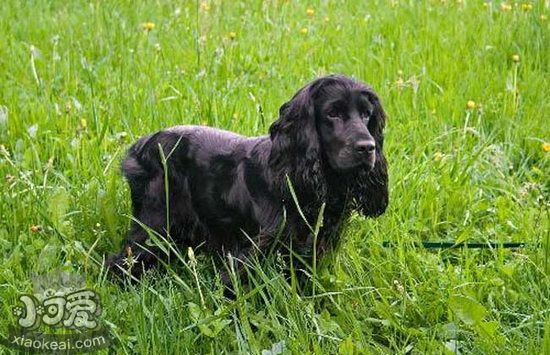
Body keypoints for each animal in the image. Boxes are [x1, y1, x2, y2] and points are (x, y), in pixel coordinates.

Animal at [109, 74, 388, 286]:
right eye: (332, 113)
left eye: (367, 114)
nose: (368, 148)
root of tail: (141, 145)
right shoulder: (252, 252)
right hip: (154, 223)